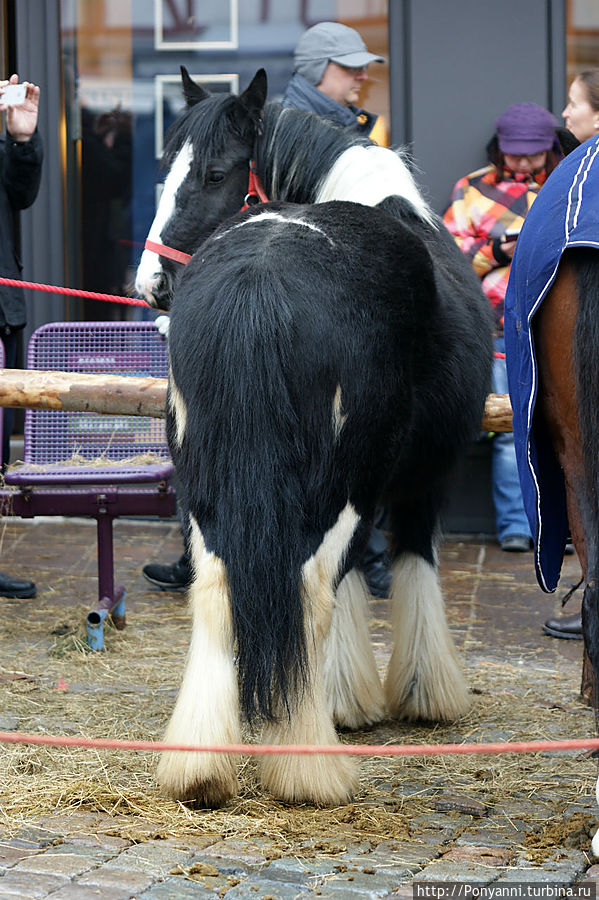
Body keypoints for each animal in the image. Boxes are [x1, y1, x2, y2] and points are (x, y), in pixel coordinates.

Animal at [135, 67, 492, 804]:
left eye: (212, 172)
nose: (150, 283)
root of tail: (259, 278)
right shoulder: (420, 481)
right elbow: (405, 564)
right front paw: (403, 694)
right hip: (342, 486)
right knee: (309, 589)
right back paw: (308, 769)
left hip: (203, 484)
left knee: (216, 590)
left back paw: (200, 766)